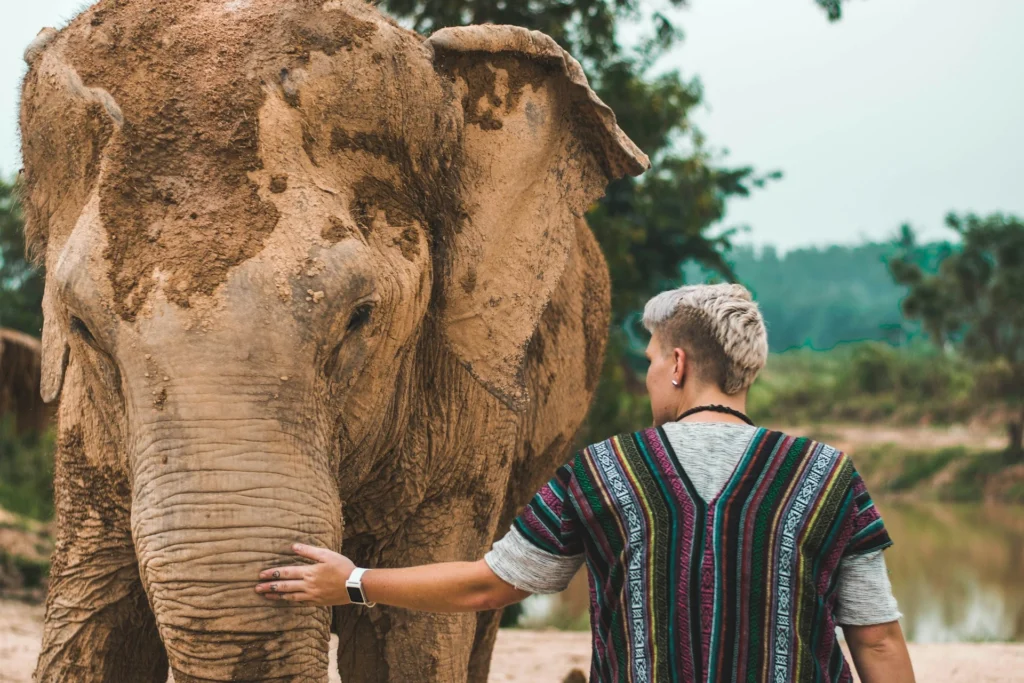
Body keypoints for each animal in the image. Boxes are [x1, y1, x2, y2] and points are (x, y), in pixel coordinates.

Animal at [19, 2, 647, 679]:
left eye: (359, 317)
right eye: (81, 326)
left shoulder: (467, 429)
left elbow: (413, 640)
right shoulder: (86, 429)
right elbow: (94, 624)